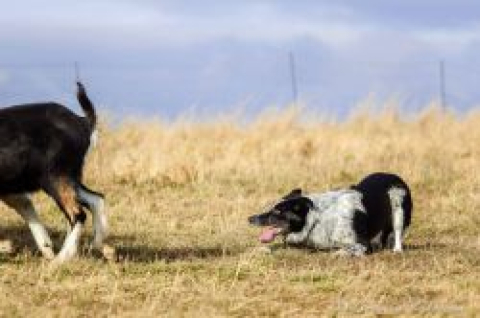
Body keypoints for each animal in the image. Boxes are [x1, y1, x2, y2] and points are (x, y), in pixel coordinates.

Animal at [0, 83, 109, 262]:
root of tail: (84, 122)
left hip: (56, 177)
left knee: (78, 213)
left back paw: (60, 259)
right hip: (69, 177)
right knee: (96, 199)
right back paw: (95, 245)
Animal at [249, 173, 410, 258]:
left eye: (277, 212)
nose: (250, 219)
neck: (318, 218)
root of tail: (395, 176)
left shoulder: (363, 245)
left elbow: (347, 250)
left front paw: (339, 253)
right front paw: (261, 250)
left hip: (399, 211)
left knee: (397, 233)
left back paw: (397, 250)